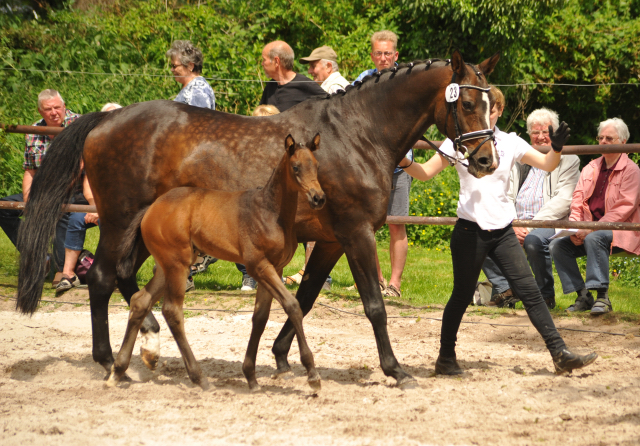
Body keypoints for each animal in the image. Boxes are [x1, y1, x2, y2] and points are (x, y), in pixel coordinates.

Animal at [107, 135, 324, 390]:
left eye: (316, 166)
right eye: (296, 167)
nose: (318, 198)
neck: (271, 211)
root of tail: (151, 207)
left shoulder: (274, 268)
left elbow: (260, 318)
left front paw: (251, 377)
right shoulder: (258, 265)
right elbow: (292, 306)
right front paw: (312, 374)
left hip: (166, 267)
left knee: (140, 301)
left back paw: (117, 371)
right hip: (177, 265)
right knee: (172, 310)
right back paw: (198, 377)